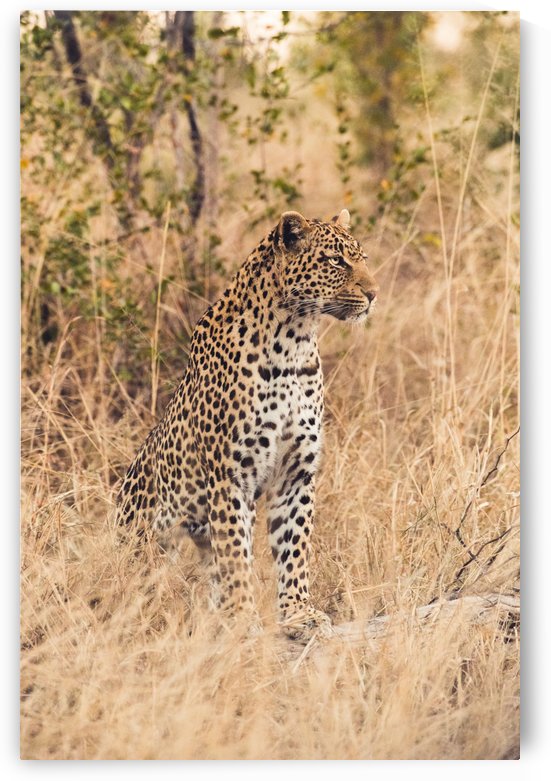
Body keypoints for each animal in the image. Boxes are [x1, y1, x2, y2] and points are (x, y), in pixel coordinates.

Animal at [116, 208, 378, 640]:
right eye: (336, 261)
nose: (374, 294)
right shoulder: (230, 475)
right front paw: (241, 617)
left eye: (364, 259)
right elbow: (235, 555)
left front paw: (298, 613)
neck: (294, 341)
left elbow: (294, 547)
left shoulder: (296, 473)